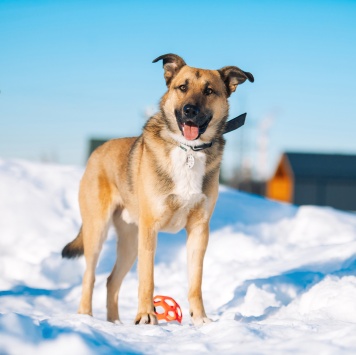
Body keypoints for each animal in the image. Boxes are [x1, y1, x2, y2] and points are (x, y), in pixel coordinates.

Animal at [62, 54, 253, 326]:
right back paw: (86, 316)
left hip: (130, 241)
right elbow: (147, 278)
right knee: (91, 276)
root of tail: (96, 152)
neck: (188, 150)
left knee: (111, 281)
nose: (189, 110)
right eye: (182, 87)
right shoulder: (150, 228)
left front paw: (201, 319)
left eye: (209, 91)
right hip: (98, 230)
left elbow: (196, 281)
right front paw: (146, 315)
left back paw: (115, 323)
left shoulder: (199, 230)